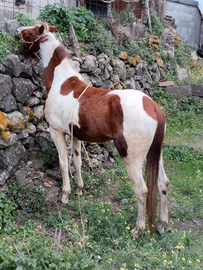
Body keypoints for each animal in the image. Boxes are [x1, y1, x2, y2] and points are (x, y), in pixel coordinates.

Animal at [17, 23, 169, 237]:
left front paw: (65, 195)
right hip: (156, 153)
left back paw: (137, 230)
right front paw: (80, 189)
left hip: (132, 158)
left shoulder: (56, 132)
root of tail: (153, 107)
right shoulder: (76, 136)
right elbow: (77, 161)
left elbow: (63, 163)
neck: (60, 81)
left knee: (142, 190)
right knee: (163, 184)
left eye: (30, 32)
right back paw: (162, 224)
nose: (17, 32)